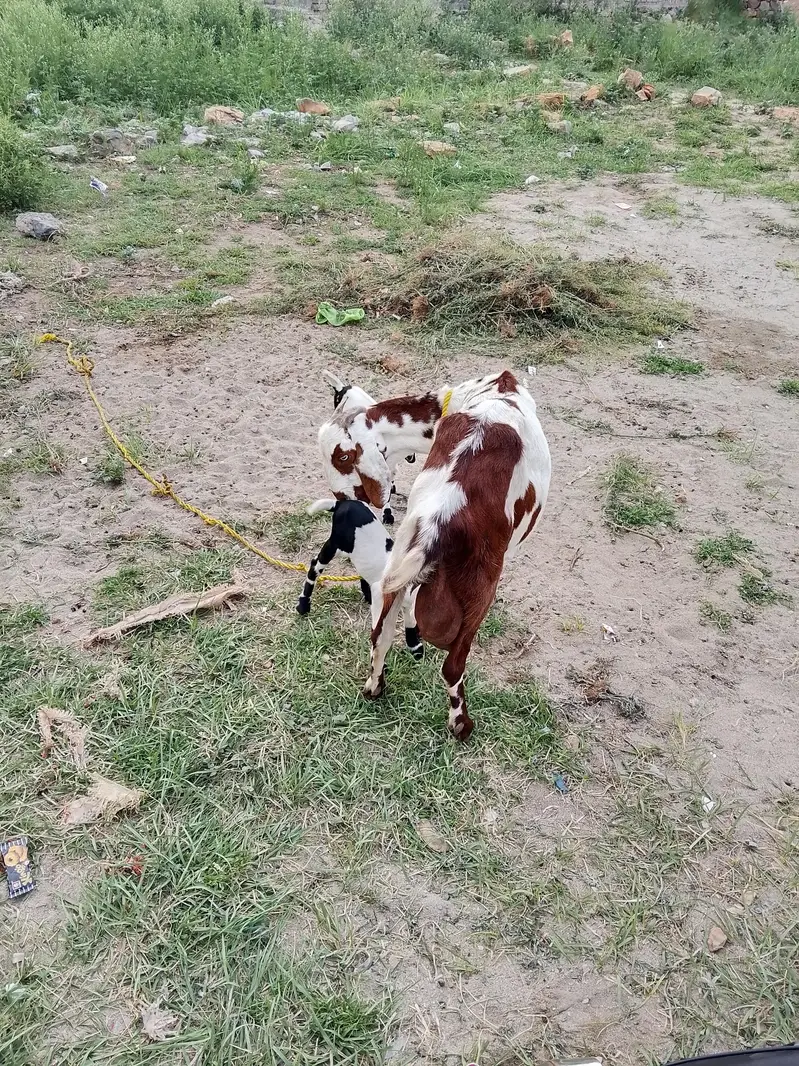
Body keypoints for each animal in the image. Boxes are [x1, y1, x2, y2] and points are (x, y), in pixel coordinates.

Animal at [297, 498, 423, 660]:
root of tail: (341, 503)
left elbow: (411, 620)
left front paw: (416, 648)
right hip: (335, 544)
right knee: (315, 565)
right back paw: (303, 605)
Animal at [359, 370, 551, 741]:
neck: (497, 395)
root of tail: (439, 521)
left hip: (396, 575)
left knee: (380, 637)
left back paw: (375, 688)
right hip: (478, 599)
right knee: (452, 667)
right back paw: (461, 725)